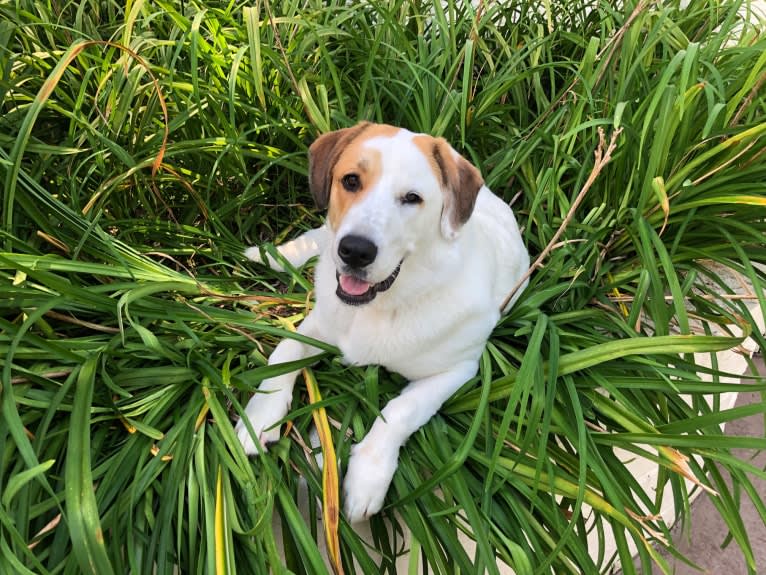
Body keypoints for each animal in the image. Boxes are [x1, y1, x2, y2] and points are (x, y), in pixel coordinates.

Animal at [237, 121, 532, 520]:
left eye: (412, 198)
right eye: (350, 180)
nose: (354, 251)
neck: (385, 304)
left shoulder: (457, 370)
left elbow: (401, 410)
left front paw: (367, 476)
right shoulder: (320, 325)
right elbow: (283, 351)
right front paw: (261, 414)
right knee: (317, 238)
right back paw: (272, 254)